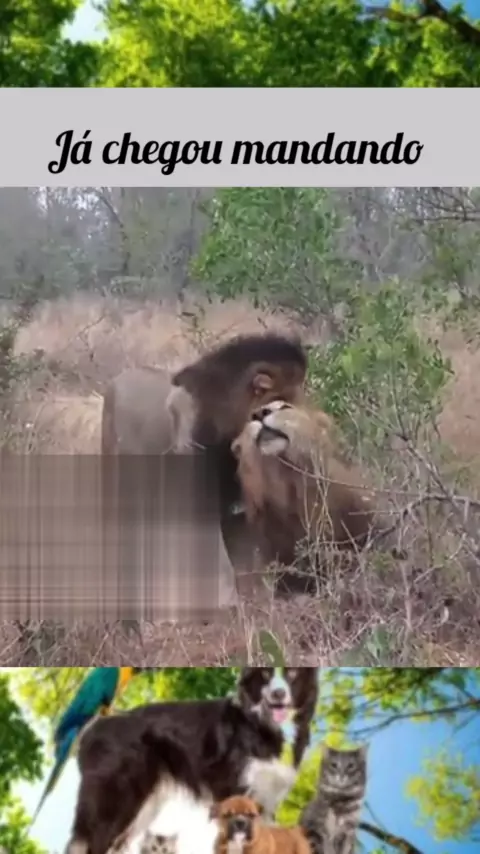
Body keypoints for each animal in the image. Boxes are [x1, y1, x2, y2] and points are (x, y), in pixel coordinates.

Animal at [66, 668, 318, 854]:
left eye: (292, 673)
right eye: (265, 673)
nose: (278, 694)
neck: (261, 724)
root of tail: (92, 730)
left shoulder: (266, 803)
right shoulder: (236, 792)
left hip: (144, 807)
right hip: (117, 804)